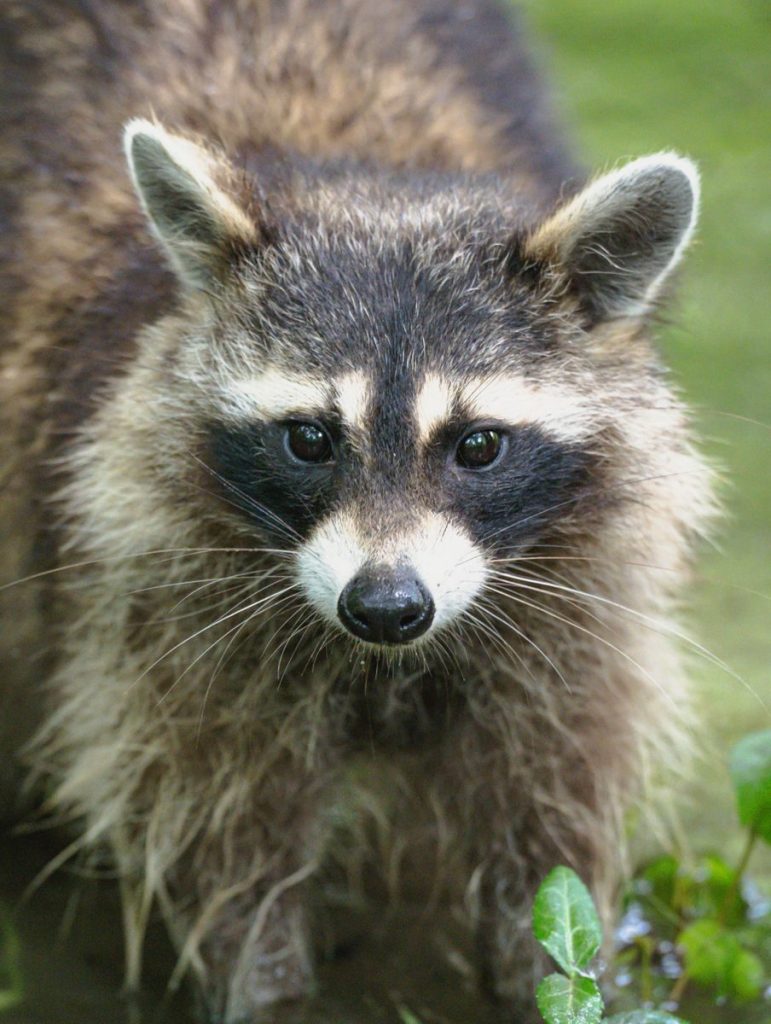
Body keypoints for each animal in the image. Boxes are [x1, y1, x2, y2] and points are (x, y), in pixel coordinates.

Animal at [0, 0, 713, 1020]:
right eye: (308, 438)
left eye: (478, 446)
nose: (385, 606)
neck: (373, 177)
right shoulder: (159, 604)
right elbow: (224, 840)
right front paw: (262, 986)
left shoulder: (577, 614)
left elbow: (544, 843)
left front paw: (557, 980)